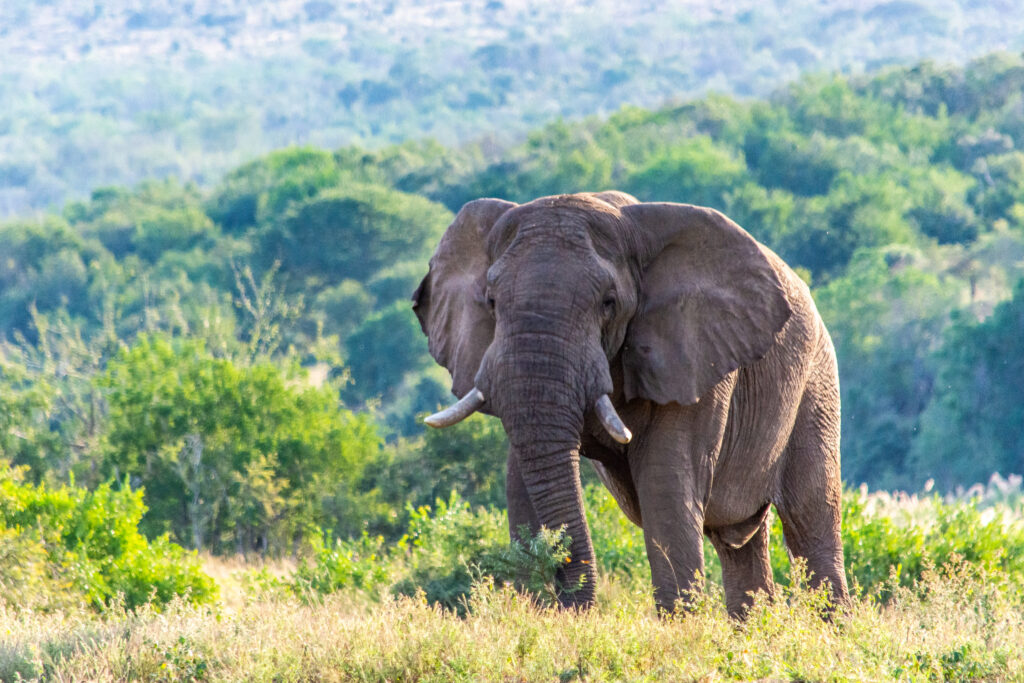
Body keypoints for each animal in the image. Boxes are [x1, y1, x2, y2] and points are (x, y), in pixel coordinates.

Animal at [407, 189, 847, 618]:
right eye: (492, 303)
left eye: (608, 303)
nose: (568, 605)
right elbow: (521, 480)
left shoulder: (694, 353)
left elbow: (665, 484)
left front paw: (681, 626)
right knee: (738, 542)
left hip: (817, 380)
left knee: (810, 519)